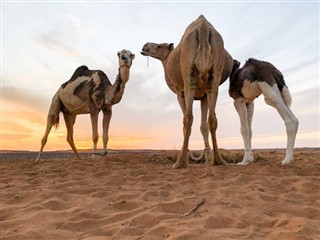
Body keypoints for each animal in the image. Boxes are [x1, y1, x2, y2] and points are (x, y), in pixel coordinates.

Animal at [141, 15, 234, 169]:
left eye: (159, 46)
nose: (144, 46)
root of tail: (203, 27)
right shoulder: (204, 96)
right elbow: (204, 125)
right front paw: (208, 158)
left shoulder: (180, 92)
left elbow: (185, 123)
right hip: (214, 79)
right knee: (212, 118)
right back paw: (219, 160)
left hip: (188, 79)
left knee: (188, 118)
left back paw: (180, 162)